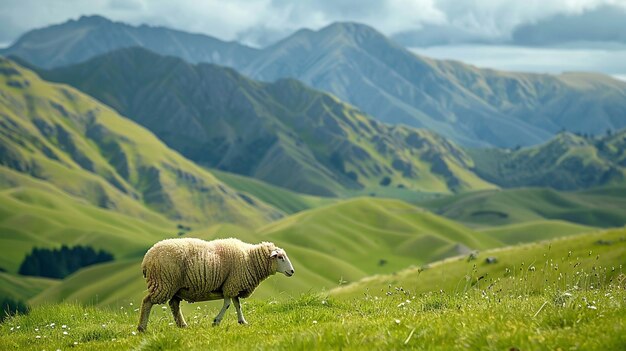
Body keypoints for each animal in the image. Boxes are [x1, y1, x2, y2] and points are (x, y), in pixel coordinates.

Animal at [136, 238, 292, 332]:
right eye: (280, 257)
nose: (292, 271)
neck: (250, 258)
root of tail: (146, 258)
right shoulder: (231, 285)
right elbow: (228, 304)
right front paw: (216, 321)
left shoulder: (233, 284)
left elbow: (237, 304)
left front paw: (242, 321)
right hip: (163, 282)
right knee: (147, 302)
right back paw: (141, 328)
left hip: (175, 287)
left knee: (174, 305)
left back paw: (183, 325)